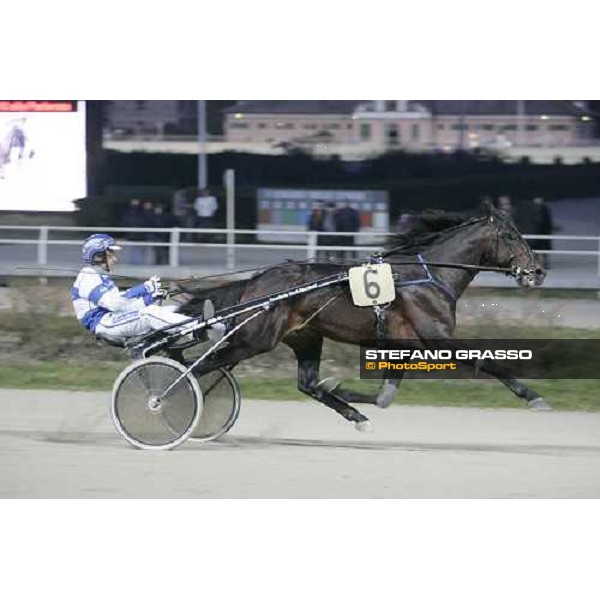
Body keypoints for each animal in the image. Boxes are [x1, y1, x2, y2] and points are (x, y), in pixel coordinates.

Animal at [172, 206, 548, 432]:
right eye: (511, 236)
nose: (538, 271)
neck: (430, 276)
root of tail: (256, 281)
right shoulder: (436, 337)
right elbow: (488, 362)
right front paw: (533, 397)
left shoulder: (403, 347)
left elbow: (384, 396)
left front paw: (342, 390)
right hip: (254, 339)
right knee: (194, 367)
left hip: (305, 336)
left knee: (307, 383)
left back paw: (352, 413)